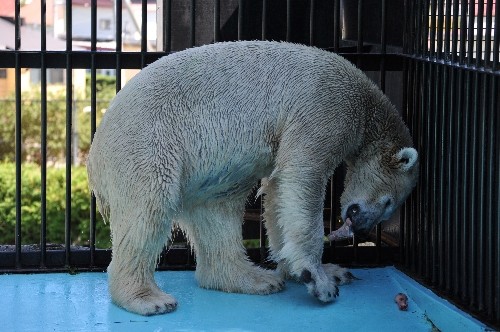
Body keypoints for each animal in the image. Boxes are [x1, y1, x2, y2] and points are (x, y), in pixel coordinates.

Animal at [85, 40, 418, 316]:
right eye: (389, 203)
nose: (361, 228)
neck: (365, 101)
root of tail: (94, 152)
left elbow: (279, 191)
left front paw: (328, 270)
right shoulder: (326, 108)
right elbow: (303, 176)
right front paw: (320, 280)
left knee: (217, 210)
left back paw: (255, 278)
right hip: (148, 144)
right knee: (149, 210)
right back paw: (148, 298)